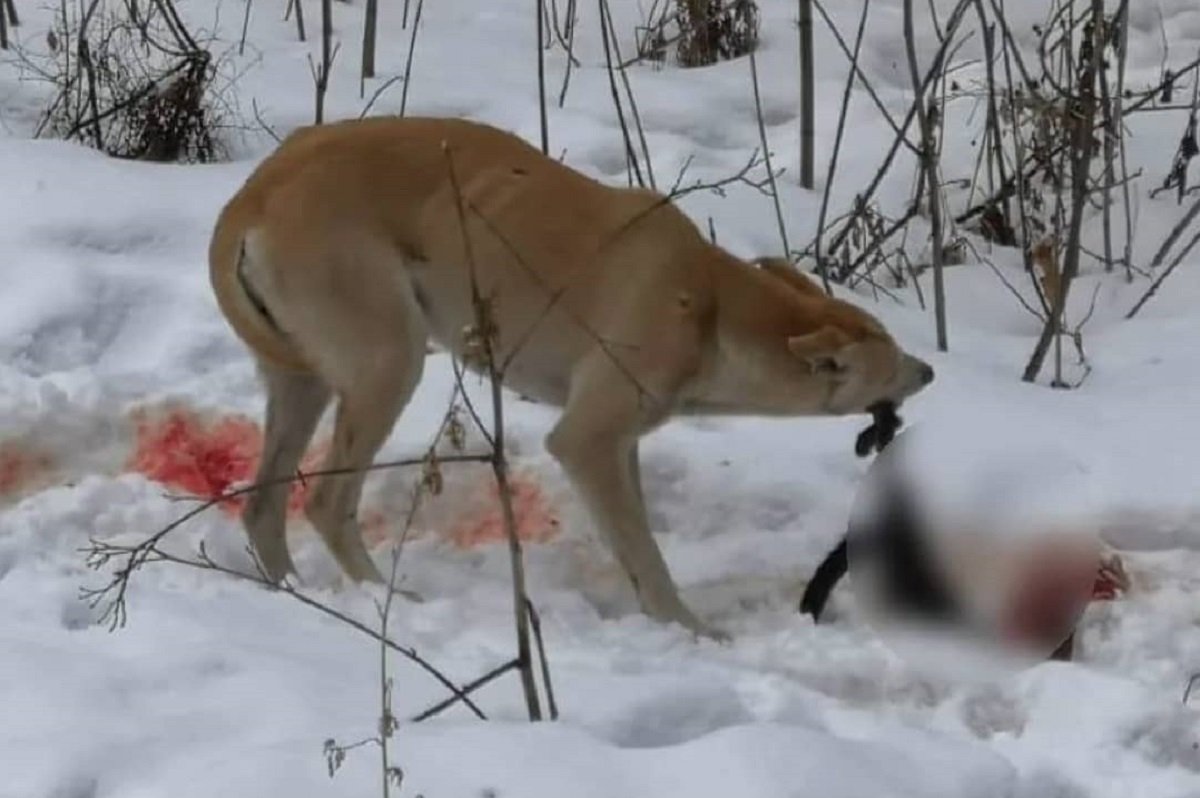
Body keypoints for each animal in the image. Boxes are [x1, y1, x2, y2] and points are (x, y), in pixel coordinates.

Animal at [211, 118, 931, 638]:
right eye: (891, 358)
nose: (927, 370)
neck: (710, 304)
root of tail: (255, 194)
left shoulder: (620, 443)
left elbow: (631, 542)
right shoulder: (588, 440)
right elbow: (646, 555)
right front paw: (690, 631)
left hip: (303, 381)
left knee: (264, 508)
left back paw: (293, 592)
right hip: (388, 364)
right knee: (327, 503)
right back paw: (383, 595)